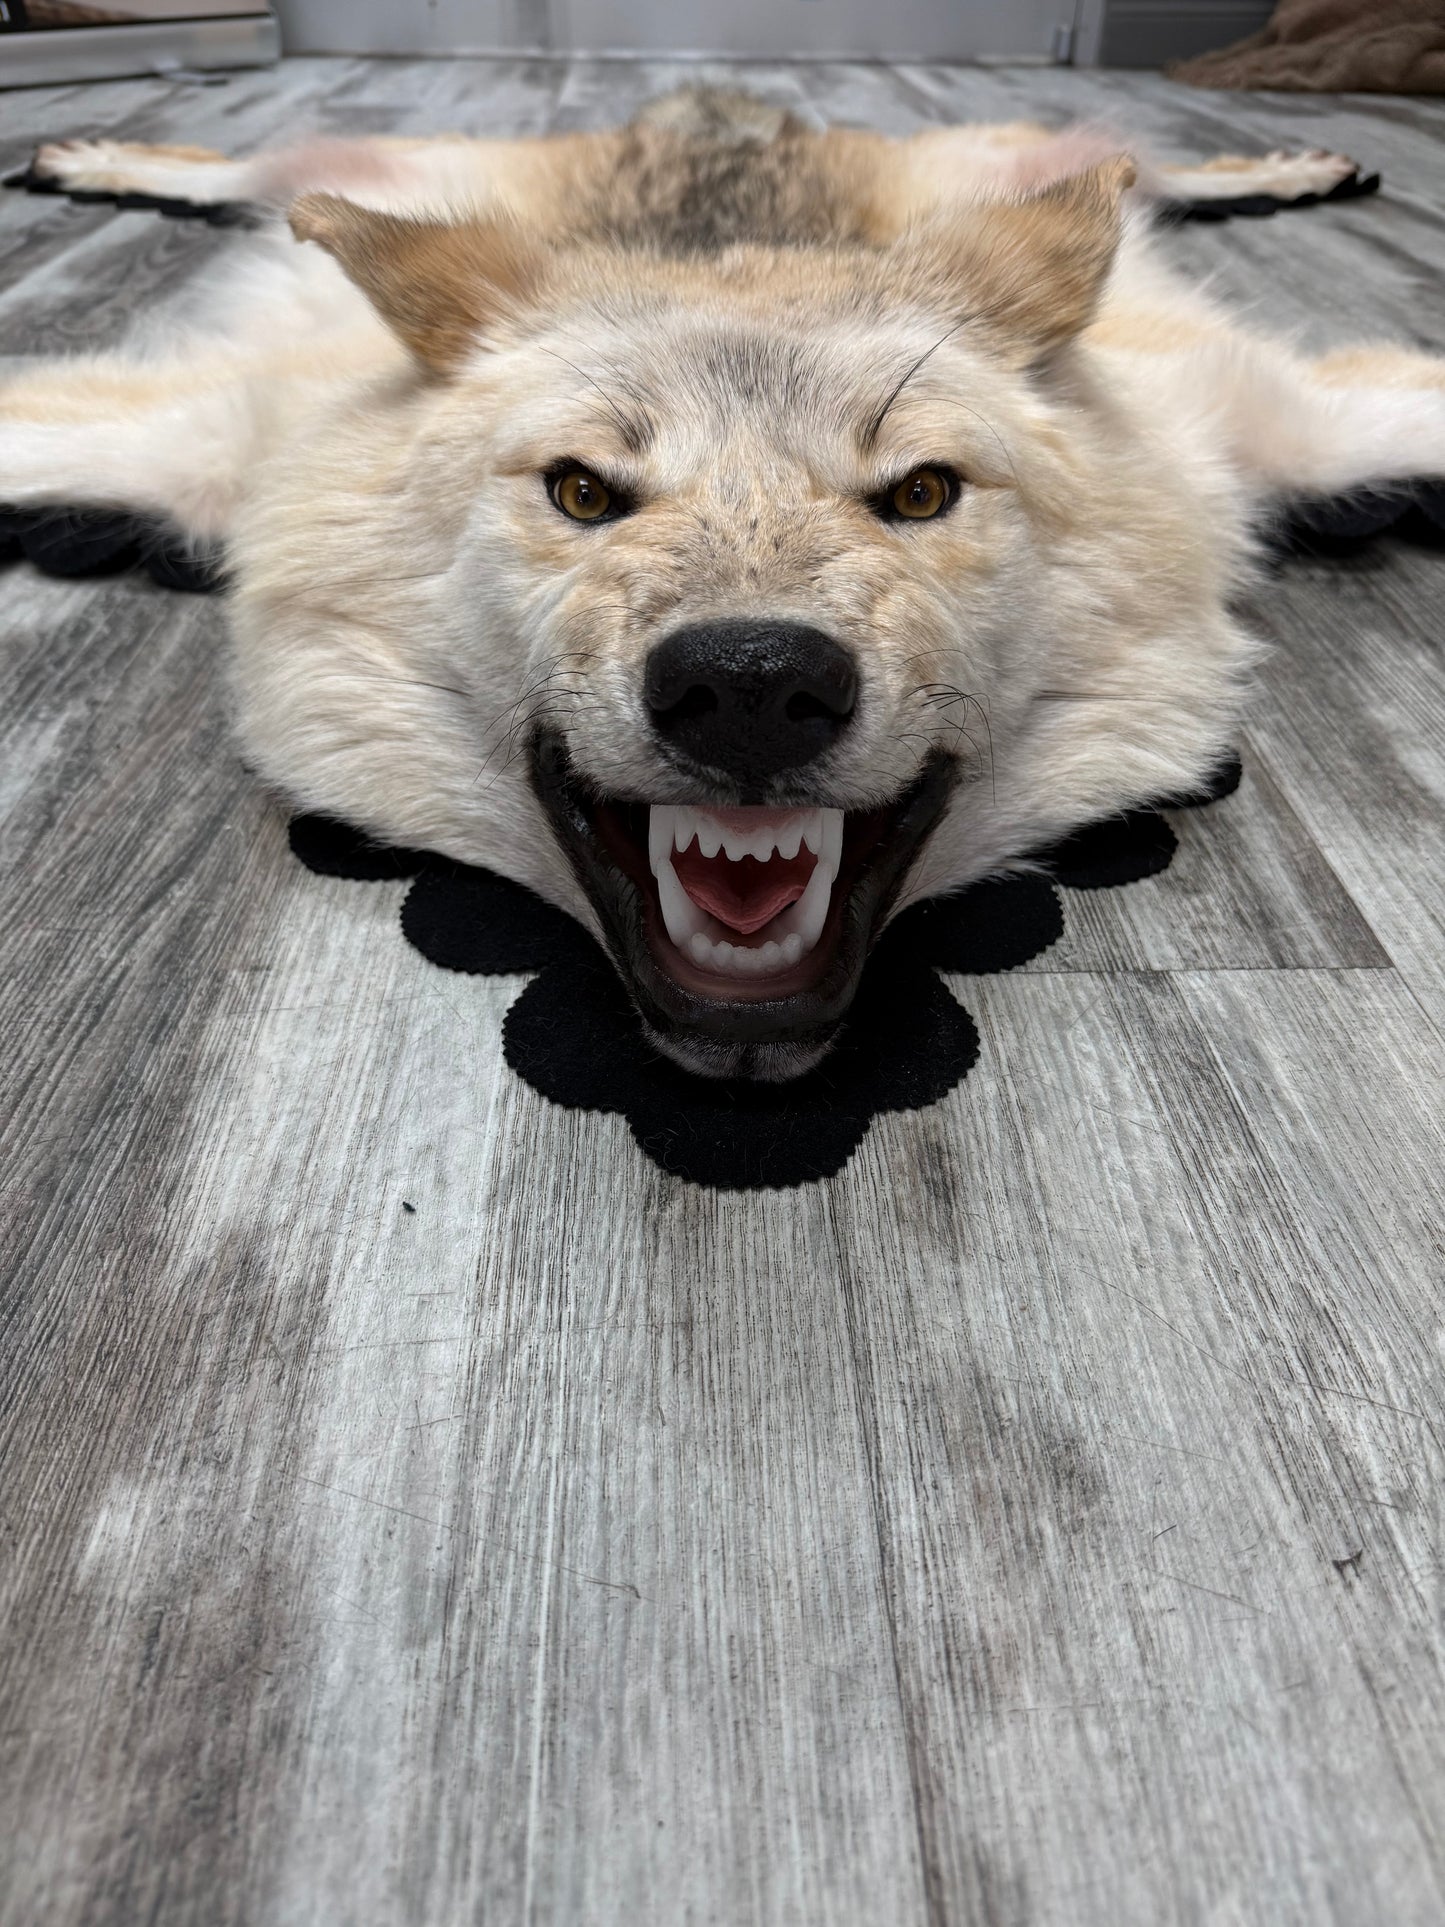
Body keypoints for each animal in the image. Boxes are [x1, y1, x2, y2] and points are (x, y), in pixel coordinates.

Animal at [4, 89, 1443, 1080]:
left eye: (919, 492)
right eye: (583, 491)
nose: (751, 685)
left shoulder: (1269, 426)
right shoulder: (220, 438)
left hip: (1041, 176)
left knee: (1137, 156)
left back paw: (1289, 164)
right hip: (364, 175)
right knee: (250, 165)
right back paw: (96, 156)